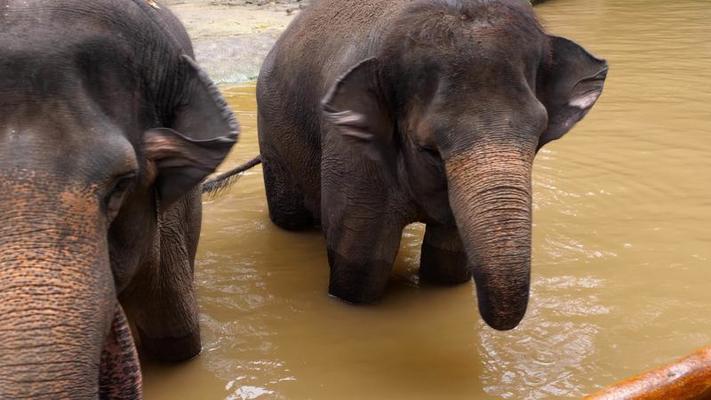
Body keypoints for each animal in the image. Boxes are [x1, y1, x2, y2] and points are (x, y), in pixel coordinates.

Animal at [253, 0, 608, 332]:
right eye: (429, 150)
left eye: (537, 137)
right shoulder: (352, 152)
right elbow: (360, 266)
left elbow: (447, 262)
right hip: (272, 129)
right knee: (289, 217)